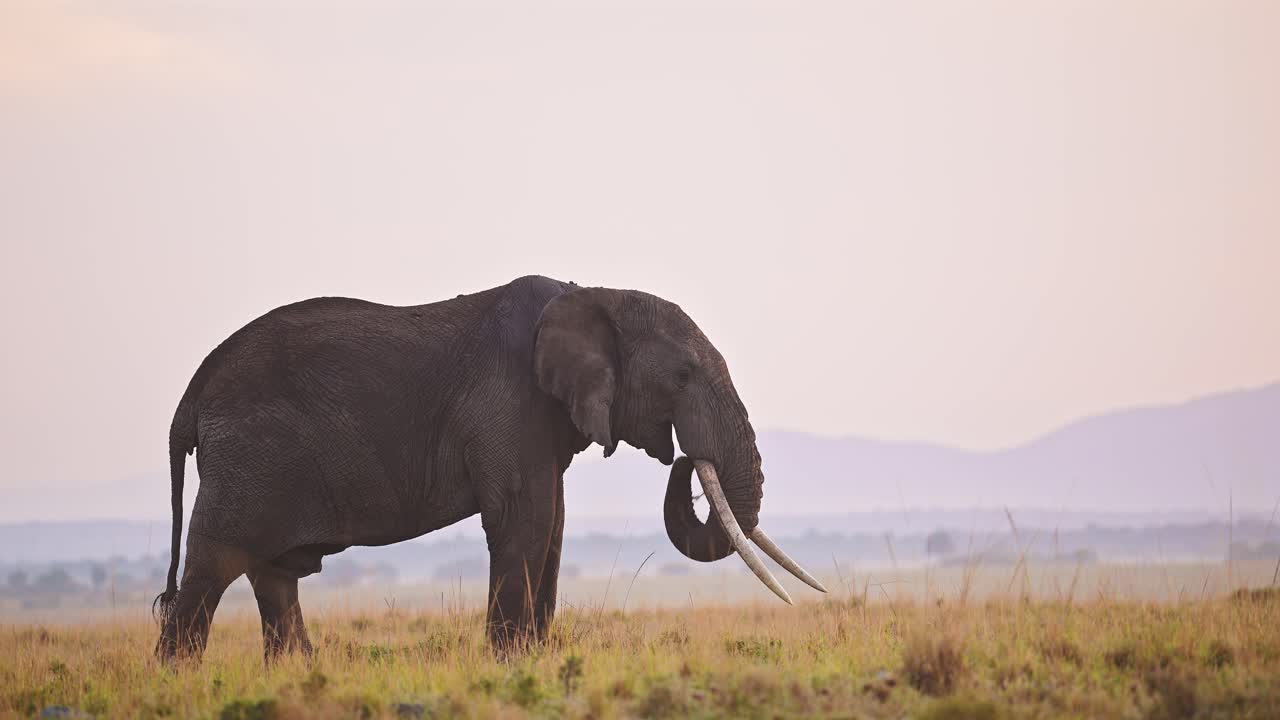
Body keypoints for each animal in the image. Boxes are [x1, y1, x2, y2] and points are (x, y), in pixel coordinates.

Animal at [154, 275, 824, 661]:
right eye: (682, 376)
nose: (683, 456)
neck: (592, 291)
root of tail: (190, 396)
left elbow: (551, 527)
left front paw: (536, 660)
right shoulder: (509, 401)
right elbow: (524, 520)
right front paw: (510, 665)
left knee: (274, 576)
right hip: (249, 458)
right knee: (213, 566)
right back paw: (181, 680)